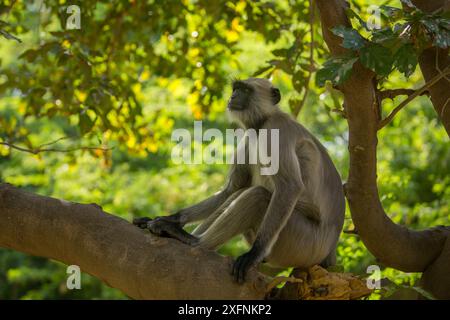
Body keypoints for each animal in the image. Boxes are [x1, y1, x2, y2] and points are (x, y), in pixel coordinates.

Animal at [134, 79, 344, 284]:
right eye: (236, 89)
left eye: (246, 90)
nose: (233, 96)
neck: (260, 124)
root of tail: (329, 251)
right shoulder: (249, 136)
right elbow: (230, 189)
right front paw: (171, 218)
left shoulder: (276, 127)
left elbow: (290, 186)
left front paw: (253, 254)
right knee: (239, 193)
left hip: (302, 245)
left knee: (259, 196)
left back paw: (194, 241)